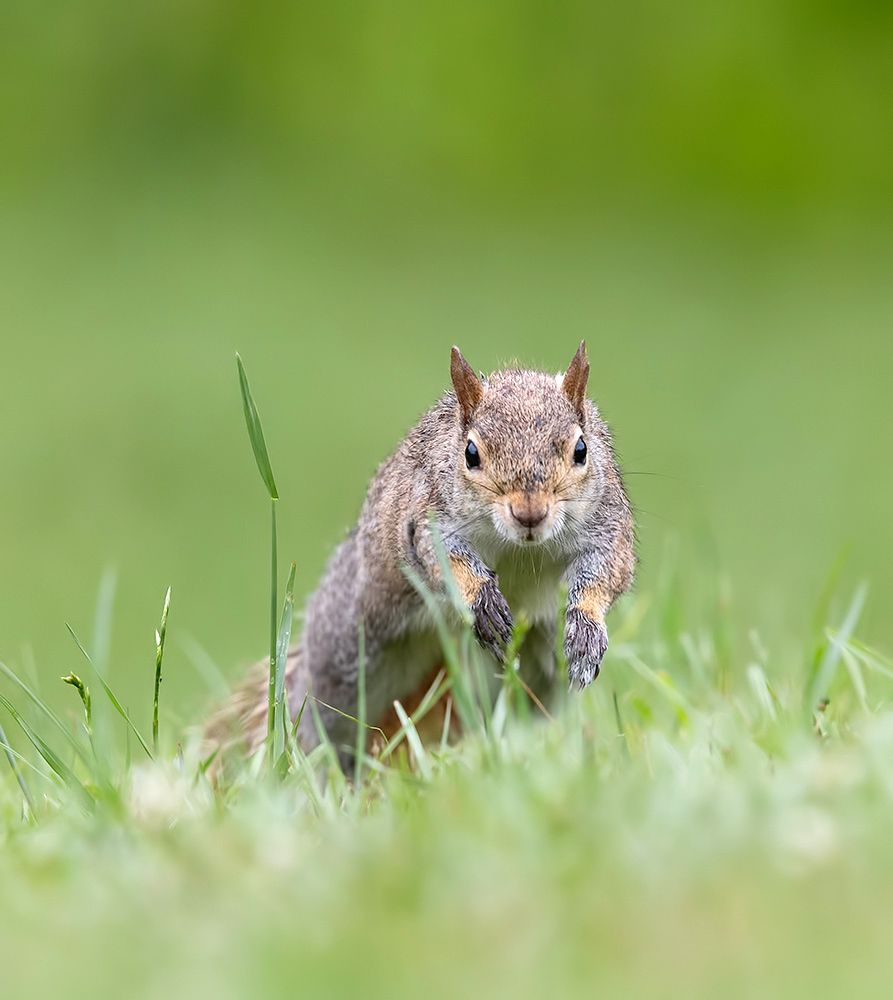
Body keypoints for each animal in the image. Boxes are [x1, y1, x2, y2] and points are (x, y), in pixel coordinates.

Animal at [207, 343, 635, 766]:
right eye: (471, 453)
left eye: (581, 449)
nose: (529, 514)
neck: (519, 548)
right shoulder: (428, 519)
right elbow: (448, 561)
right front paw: (483, 601)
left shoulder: (609, 526)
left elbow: (606, 573)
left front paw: (585, 633)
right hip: (343, 655)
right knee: (321, 722)